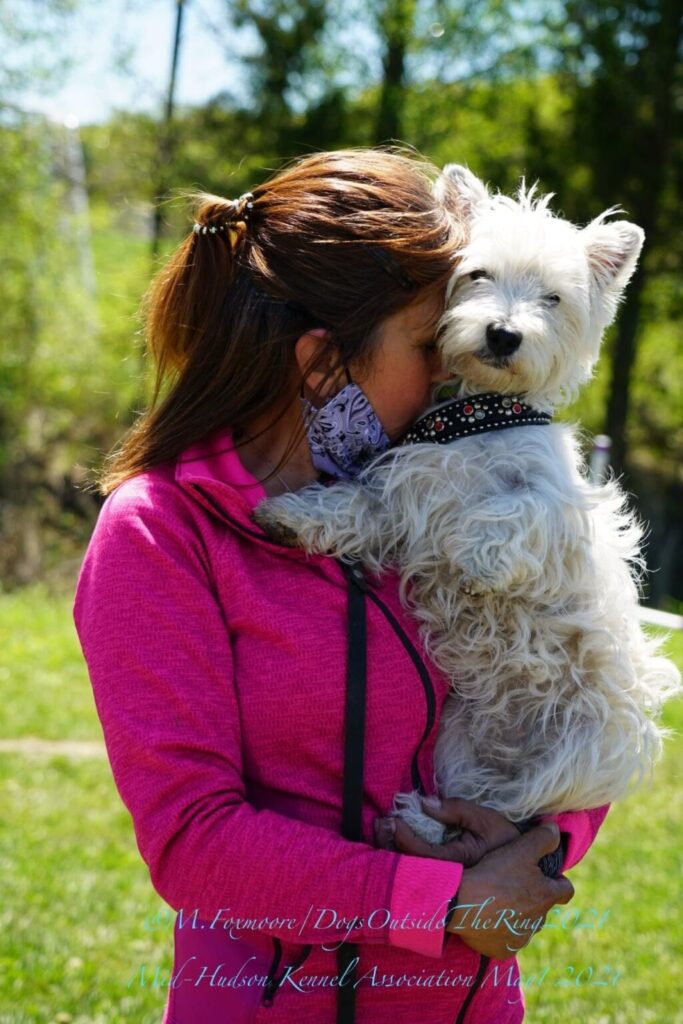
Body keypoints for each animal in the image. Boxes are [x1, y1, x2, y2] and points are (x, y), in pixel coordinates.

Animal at [253, 165, 679, 839]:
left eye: (553, 299)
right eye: (479, 274)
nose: (504, 334)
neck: (475, 411)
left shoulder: (557, 501)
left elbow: (517, 511)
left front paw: (477, 557)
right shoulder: (402, 494)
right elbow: (354, 505)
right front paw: (293, 516)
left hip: (576, 758)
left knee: (509, 811)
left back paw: (424, 820)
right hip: (456, 738)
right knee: (471, 799)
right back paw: (418, 820)